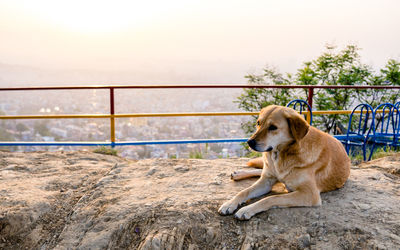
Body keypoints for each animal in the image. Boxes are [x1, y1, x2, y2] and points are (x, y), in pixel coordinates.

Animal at [219, 104, 350, 220]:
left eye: (273, 127)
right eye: (258, 123)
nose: (249, 142)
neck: (281, 155)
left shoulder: (309, 194)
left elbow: (272, 198)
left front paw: (246, 209)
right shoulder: (266, 182)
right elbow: (244, 192)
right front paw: (229, 204)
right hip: (269, 172)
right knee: (261, 171)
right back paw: (239, 174)